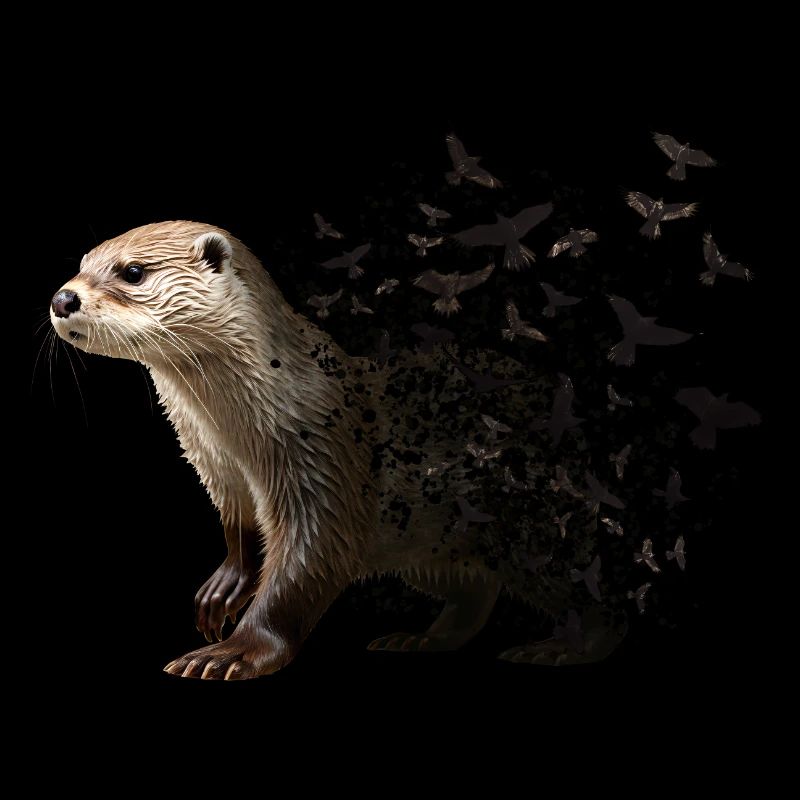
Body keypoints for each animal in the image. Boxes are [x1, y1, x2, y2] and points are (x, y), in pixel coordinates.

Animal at [50, 221, 622, 679]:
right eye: (79, 265)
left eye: (133, 271)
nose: (62, 298)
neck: (241, 439)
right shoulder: (221, 477)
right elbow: (241, 536)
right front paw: (225, 586)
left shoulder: (325, 465)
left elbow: (305, 568)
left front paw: (234, 652)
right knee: (473, 594)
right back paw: (420, 639)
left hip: (536, 528)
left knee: (589, 589)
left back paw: (563, 647)